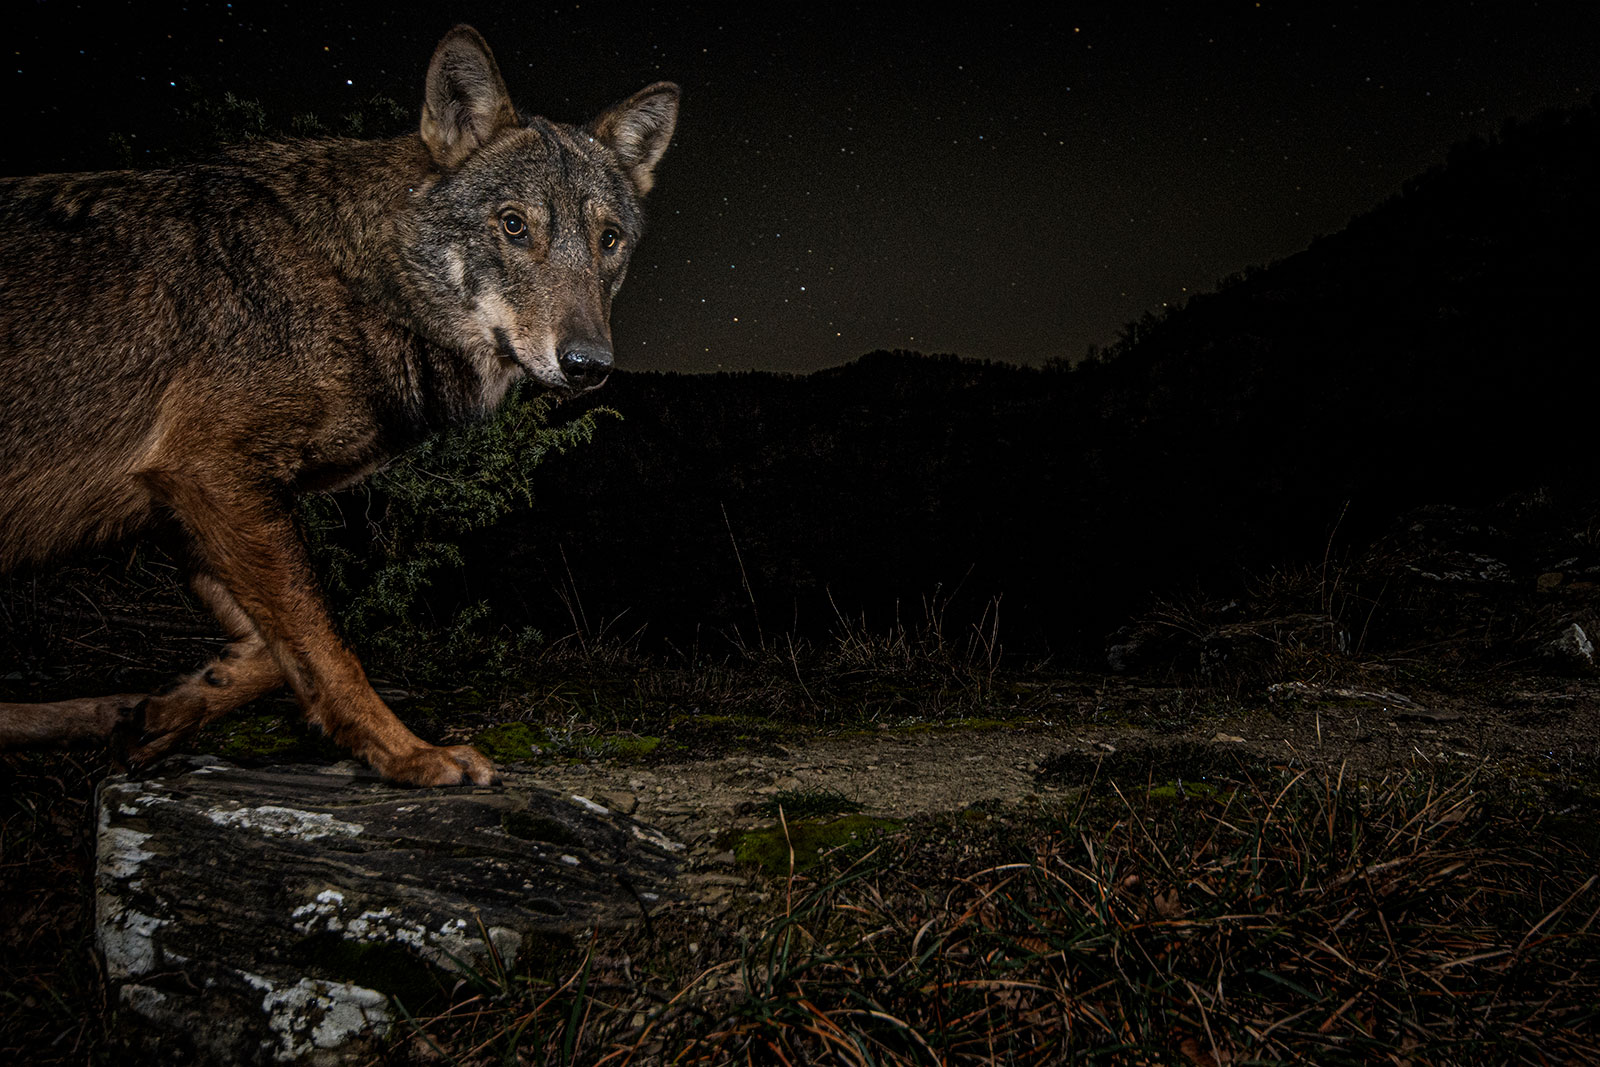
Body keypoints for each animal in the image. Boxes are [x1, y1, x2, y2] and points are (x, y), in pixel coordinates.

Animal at [0, 26, 677, 786]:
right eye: (513, 226)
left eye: (609, 240)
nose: (589, 365)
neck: (349, 279)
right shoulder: (210, 470)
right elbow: (328, 648)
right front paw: (412, 755)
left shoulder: (187, 503)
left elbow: (276, 654)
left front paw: (161, 712)